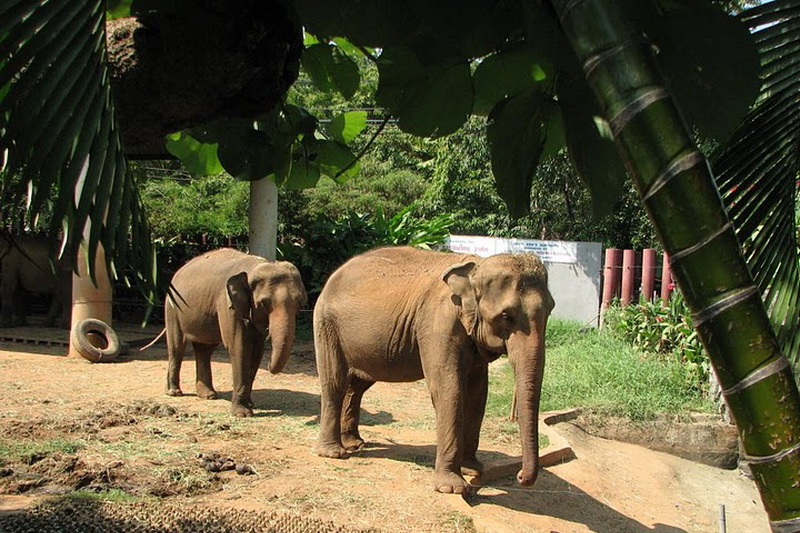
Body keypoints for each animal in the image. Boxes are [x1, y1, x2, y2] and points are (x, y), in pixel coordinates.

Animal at [165, 247, 306, 418]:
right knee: (177, 347)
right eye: (264, 303)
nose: (269, 365)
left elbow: (256, 352)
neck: (253, 268)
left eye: (300, 303)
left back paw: (208, 395)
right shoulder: (228, 305)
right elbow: (240, 348)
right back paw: (174, 392)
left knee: (204, 350)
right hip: (172, 308)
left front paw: (251, 404)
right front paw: (242, 414)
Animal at [314, 245, 556, 494]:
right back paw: (334, 453)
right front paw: (452, 488)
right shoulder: (439, 323)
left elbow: (478, 394)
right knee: (334, 382)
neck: (476, 268)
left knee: (357, 386)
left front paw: (473, 469)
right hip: (326, 324)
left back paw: (354, 443)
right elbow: (449, 389)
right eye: (506, 316)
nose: (520, 477)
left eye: (550, 311)